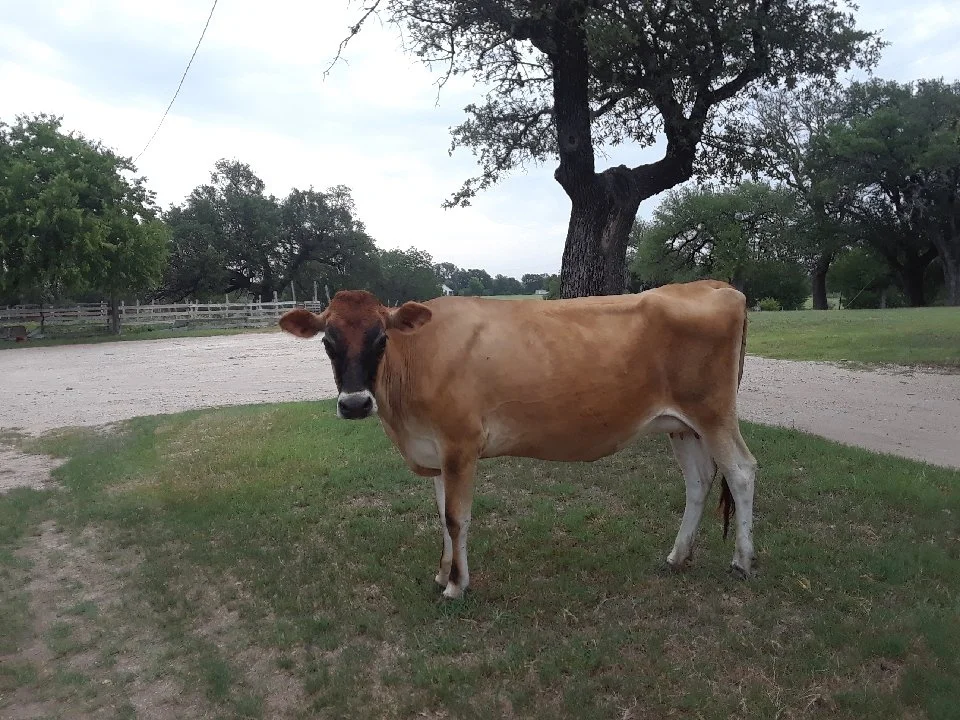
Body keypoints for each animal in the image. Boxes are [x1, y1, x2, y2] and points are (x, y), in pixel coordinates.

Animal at [279, 279, 757, 599]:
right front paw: (442, 572)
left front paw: (456, 586)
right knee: (699, 481)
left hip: (714, 413)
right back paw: (678, 557)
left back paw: (742, 561)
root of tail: (715, 286)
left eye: (381, 338)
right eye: (328, 341)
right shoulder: (436, 450)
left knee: (741, 471)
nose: (355, 403)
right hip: (681, 423)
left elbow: (457, 518)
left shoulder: (461, 444)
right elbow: (441, 518)